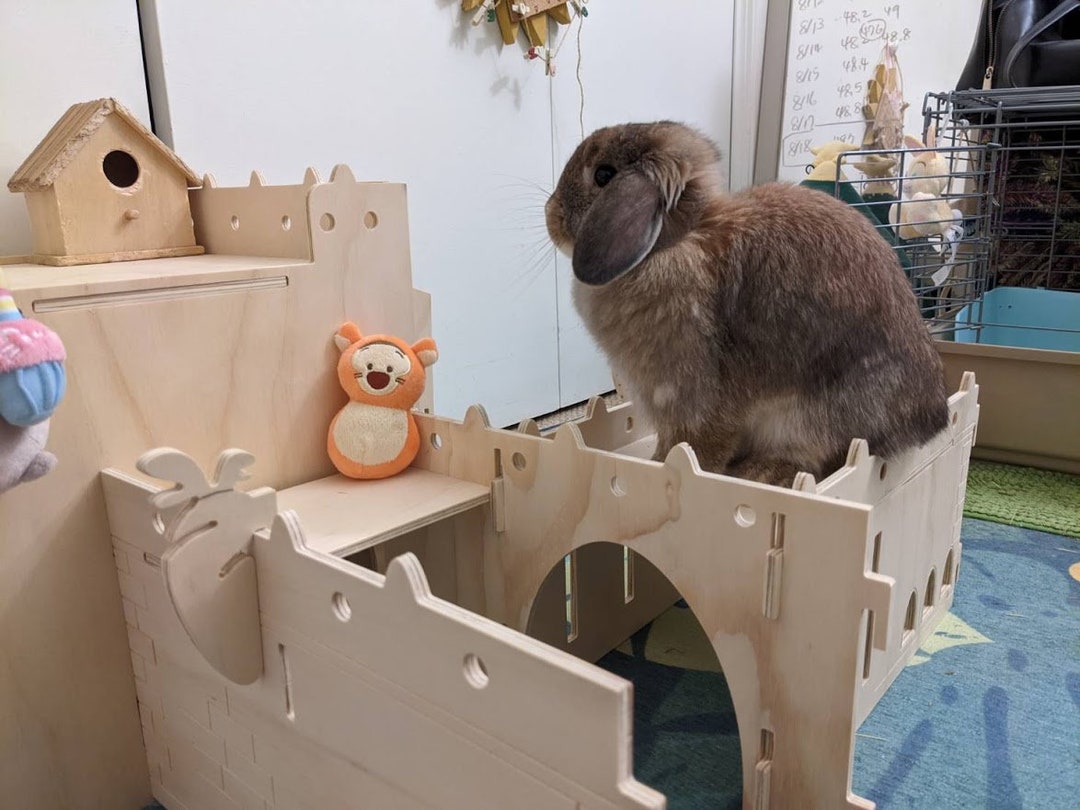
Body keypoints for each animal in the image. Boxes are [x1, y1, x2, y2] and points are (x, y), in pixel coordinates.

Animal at [545, 121, 949, 487]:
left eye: (603, 175)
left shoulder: (691, 395)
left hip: (811, 415)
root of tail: (932, 418)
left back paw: (759, 471)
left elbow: (693, 446)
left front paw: (664, 466)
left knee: (814, 458)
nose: (550, 214)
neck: (674, 242)